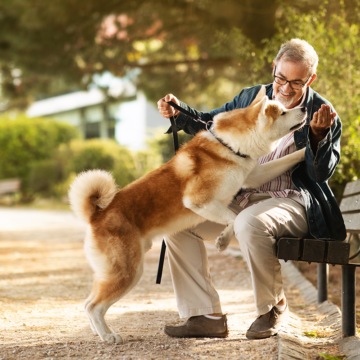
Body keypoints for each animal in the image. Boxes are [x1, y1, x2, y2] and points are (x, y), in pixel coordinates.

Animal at [68, 86, 306, 344]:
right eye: (282, 112)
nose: (305, 108)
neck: (229, 146)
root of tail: (97, 215)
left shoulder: (254, 175)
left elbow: (289, 160)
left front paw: (311, 148)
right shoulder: (198, 201)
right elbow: (235, 218)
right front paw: (223, 240)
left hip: (120, 271)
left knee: (88, 304)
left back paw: (98, 332)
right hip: (127, 272)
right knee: (94, 306)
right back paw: (108, 336)